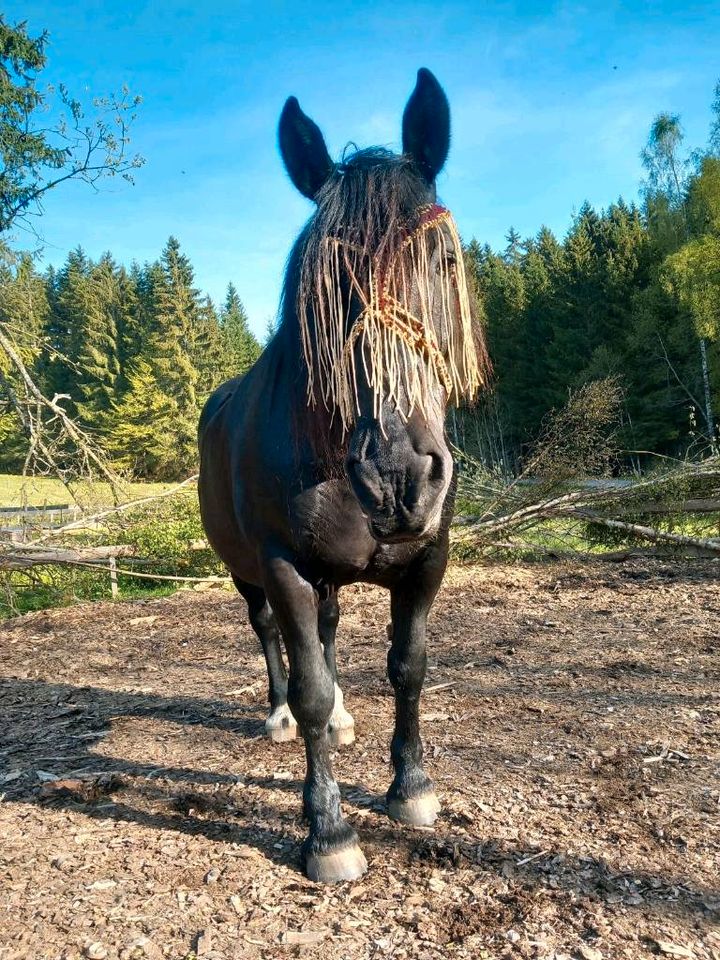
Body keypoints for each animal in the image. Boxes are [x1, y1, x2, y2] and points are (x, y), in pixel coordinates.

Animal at [200, 69, 486, 884]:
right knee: (274, 640)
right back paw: (279, 715)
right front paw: (327, 832)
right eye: (320, 282)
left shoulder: (426, 561)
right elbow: (309, 689)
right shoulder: (284, 569)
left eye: (444, 261)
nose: (399, 478)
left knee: (326, 641)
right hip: (248, 575)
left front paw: (411, 787)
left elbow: (408, 666)